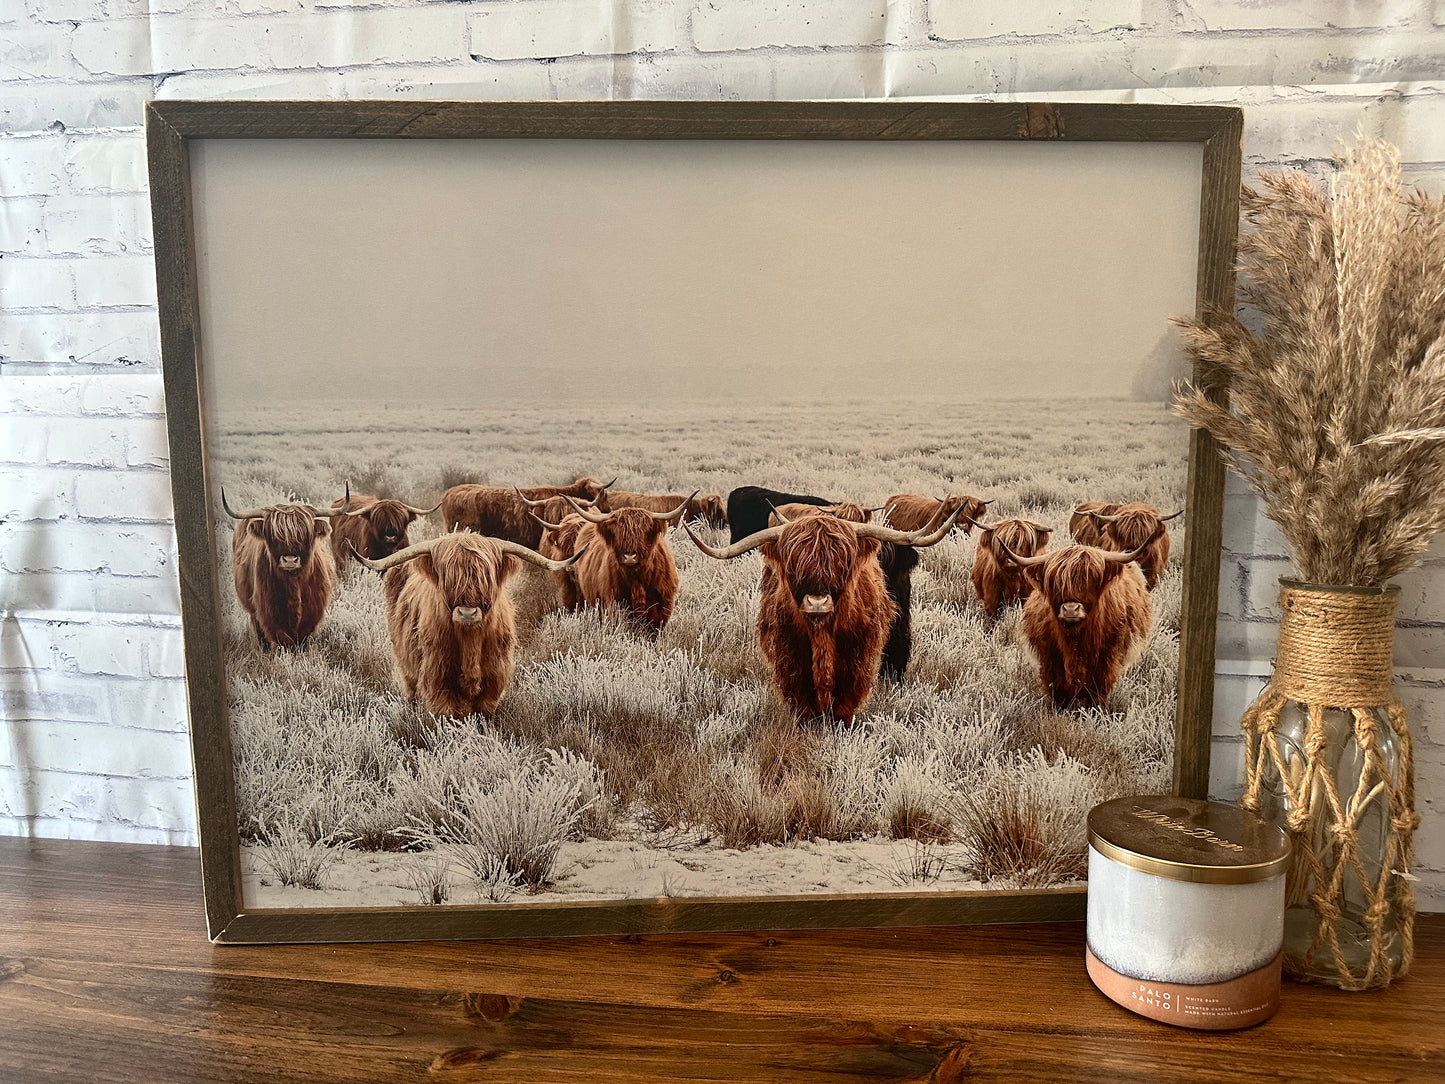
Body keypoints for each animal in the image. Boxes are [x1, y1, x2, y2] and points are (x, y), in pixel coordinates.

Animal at [223, 494, 339, 653]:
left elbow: (301, 639)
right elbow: (284, 640)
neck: (293, 584)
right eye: (273, 536)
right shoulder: (267, 611)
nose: (290, 560)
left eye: (306, 535)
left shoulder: (313, 611)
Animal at [354, 534, 580, 722]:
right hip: (406, 664)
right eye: (448, 577)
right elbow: (448, 717)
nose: (467, 613)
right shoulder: (438, 678)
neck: (470, 640)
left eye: (485, 577)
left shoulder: (494, 678)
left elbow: (483, 714)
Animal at [687, 508, 959, 722]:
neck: (822, 634)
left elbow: (845, 700)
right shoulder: (789, 657)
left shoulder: (858, 657)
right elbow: (801, 700)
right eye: (793, 564)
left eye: (844, 562)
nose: (817, 602)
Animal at [1005, 531, 1161, 713]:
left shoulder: (1107, 659)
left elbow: (1097, 691)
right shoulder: (1050, 659)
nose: (1070, 609)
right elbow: (1059, 692)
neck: (1076, 640)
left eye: (1092, 580)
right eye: (1055, 582)